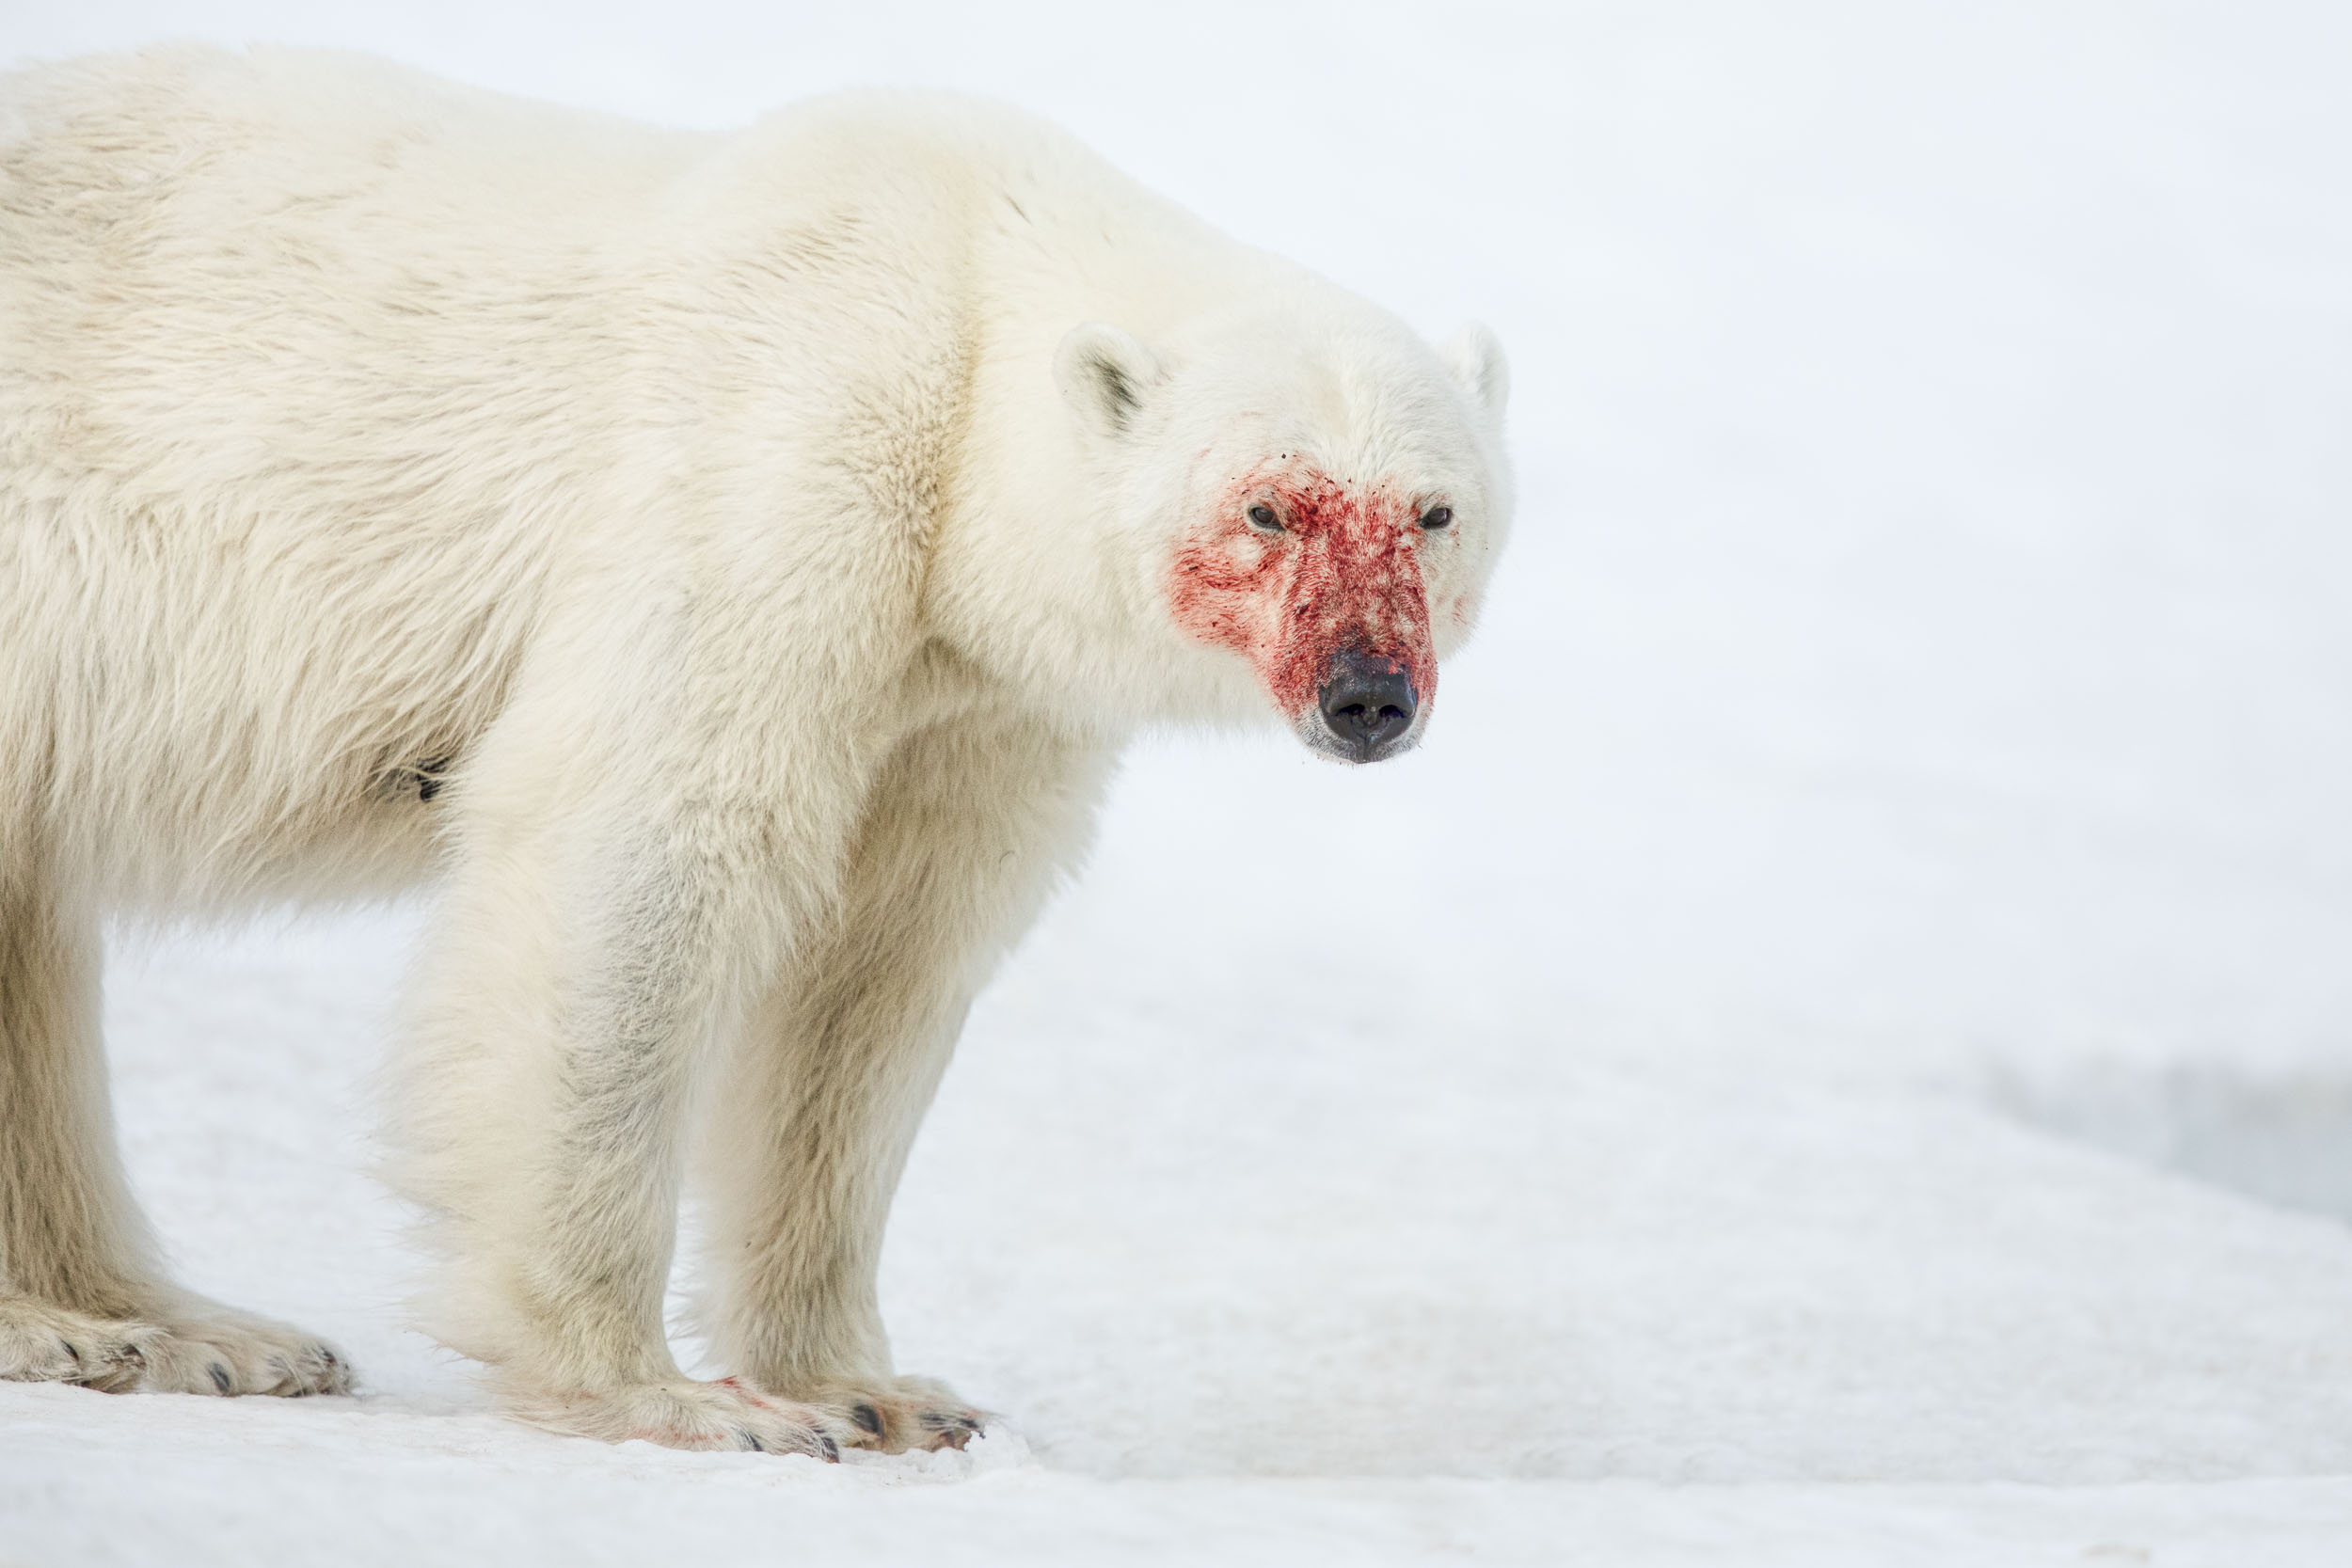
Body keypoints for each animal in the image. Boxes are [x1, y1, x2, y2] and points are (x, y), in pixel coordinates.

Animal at [0, 46, 1505, 1457]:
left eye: (1432, 510)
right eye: (1268, 505)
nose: (1369, 694)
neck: (962, 299)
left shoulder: (970, 695)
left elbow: (876, 959)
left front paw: (879, 1391)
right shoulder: (781, 455)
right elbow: (647, 842)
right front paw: (678, 1396)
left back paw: (197, 1330)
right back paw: (93, 1332)